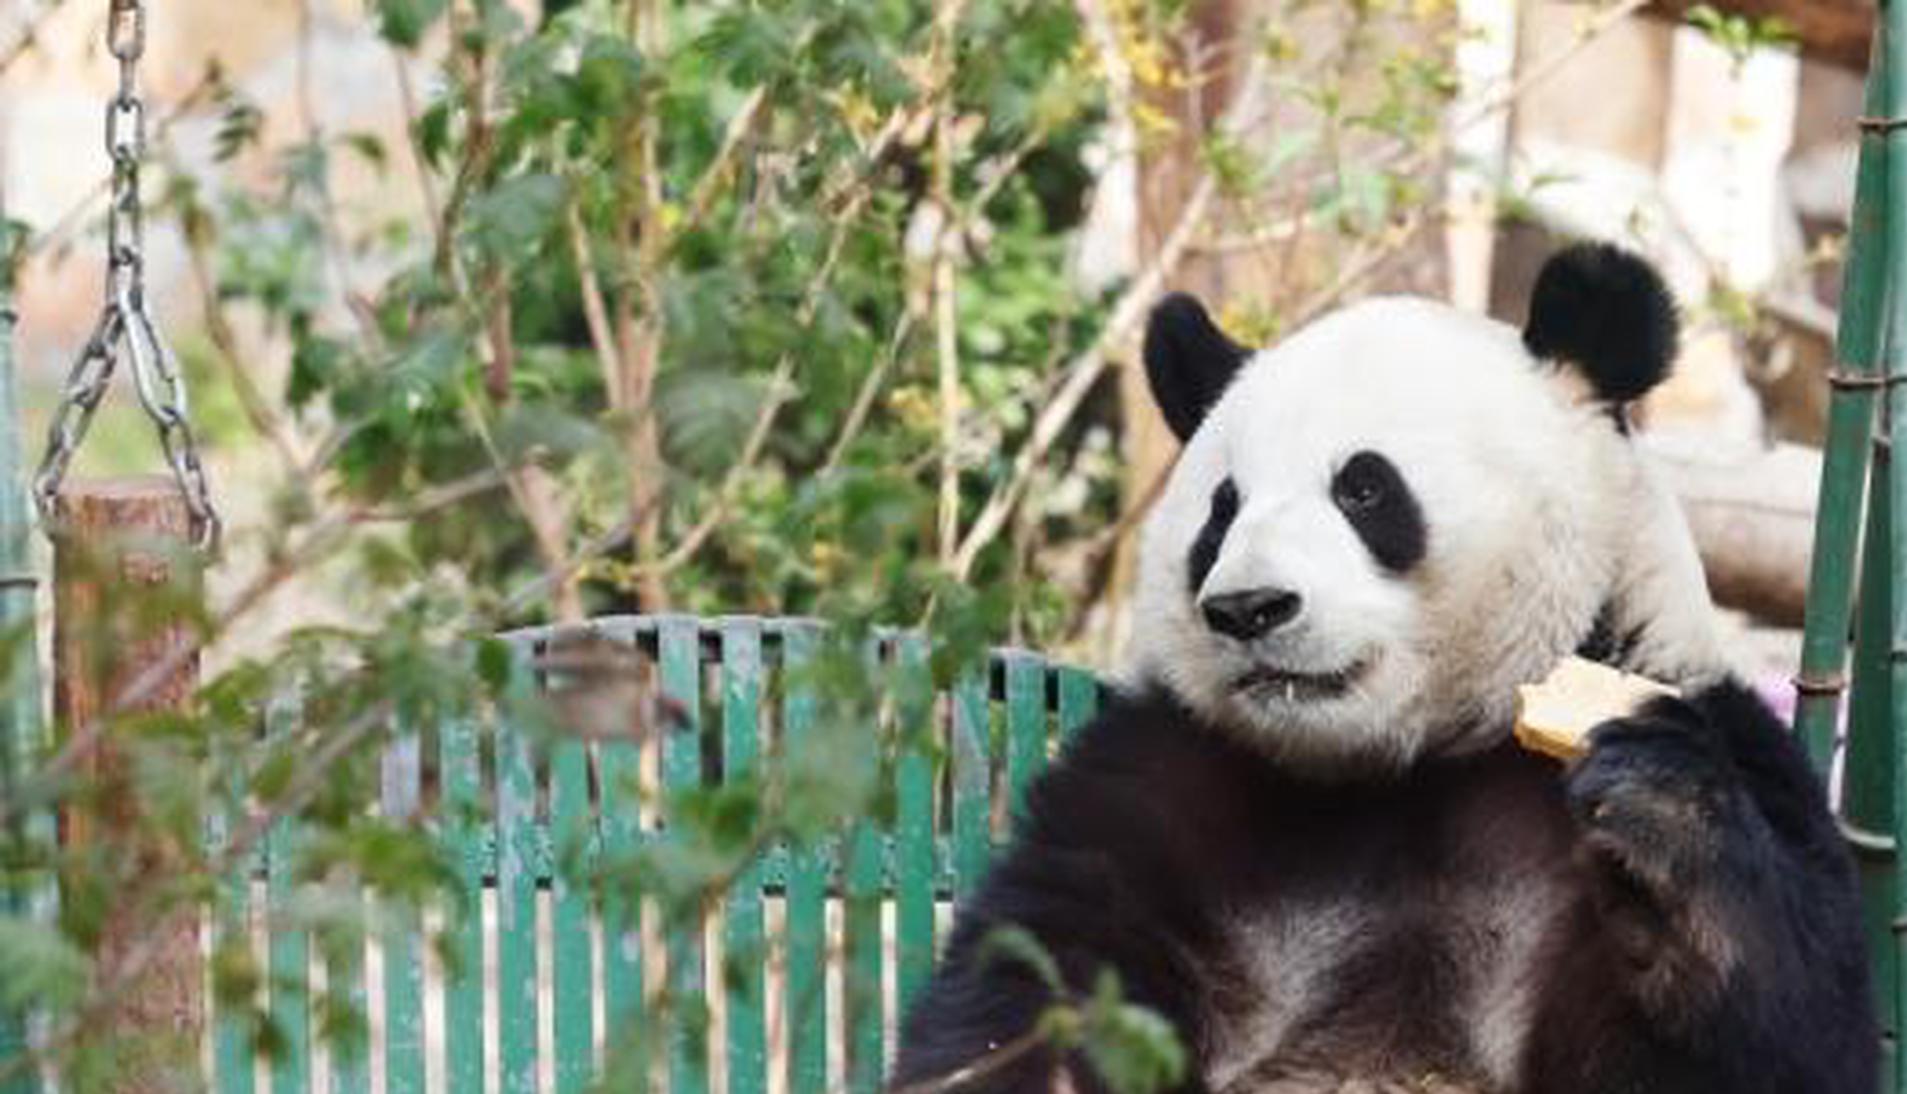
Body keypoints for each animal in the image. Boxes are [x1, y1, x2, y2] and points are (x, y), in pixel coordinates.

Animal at [890, 244, 1875, 1094]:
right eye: (1221, 511)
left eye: (1363, 489)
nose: (1247, 608)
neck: (1404, 765)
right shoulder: (1163, 778)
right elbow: (1025, 995)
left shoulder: (1718, 734)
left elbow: (1788, 1040)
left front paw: (1657, 807)